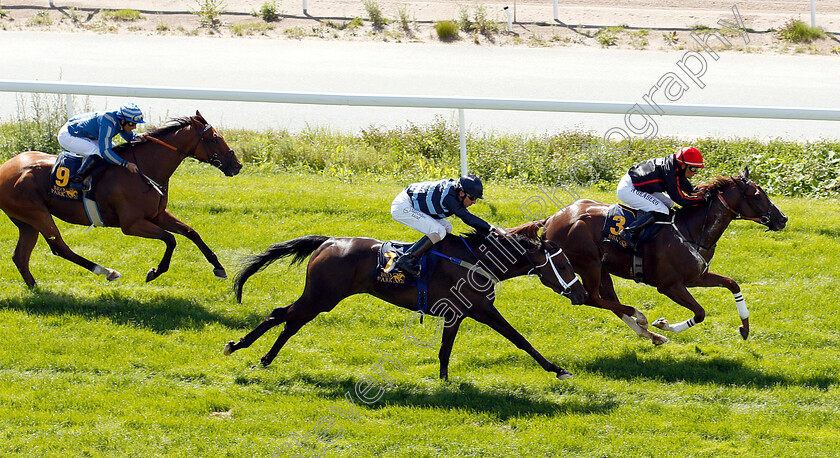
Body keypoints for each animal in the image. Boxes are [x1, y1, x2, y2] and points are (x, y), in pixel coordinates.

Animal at [0, 110, 243, 286]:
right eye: (214, 138)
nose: (237, 165)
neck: (146, 169)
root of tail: (4, 168)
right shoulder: (131, 224)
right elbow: (170, 239)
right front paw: (155, 271)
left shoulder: (157, 214)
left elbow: (191, 232)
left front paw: (219, 267)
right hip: (37, 214)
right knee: (60, 247)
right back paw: (106, 271)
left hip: (27, 222)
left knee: (20, 257)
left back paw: (35, 288)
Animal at [225, 233, 592, 380]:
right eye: (564, 264)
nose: (580, 292)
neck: (477, 261)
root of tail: (328, 241)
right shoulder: (482, 310)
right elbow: (520, 339)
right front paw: (557, 369)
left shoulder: (456, 314)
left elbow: (445, 350)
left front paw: (444, 381)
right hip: (322, 296)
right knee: (281, 315)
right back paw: (238, 345)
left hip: (320, 298)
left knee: (291, 322)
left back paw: (265, 358)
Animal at [508, 168, 792, 344]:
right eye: (757, 195)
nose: (782, 219)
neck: (690, 230)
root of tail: (551, 219)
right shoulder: (669, 285)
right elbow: (700, 312)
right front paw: (663, 324)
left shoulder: (696, 277)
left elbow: (733, 284)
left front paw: (744, 327)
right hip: (587, 264)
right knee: (592, 298)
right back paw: (643, 319)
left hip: (601, 269)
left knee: (607, 301)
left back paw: (650, 334)